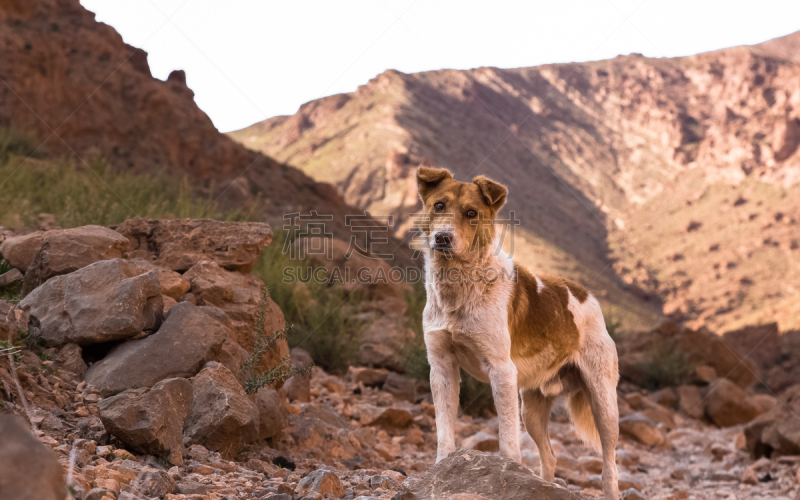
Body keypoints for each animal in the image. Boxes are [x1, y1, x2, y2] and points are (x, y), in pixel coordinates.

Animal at [416, 167, 620, 500]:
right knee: (550, 455)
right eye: (438, 206)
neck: (459, 287)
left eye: (471, 213)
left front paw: (505, 473)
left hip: (603, 402)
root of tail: (585, 294)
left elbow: (508, 438)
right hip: (533, 408)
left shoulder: (501, 370)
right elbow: (444, 427)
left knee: (610, 464)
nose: (442, 237)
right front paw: (442, 466)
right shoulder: (442, 366)